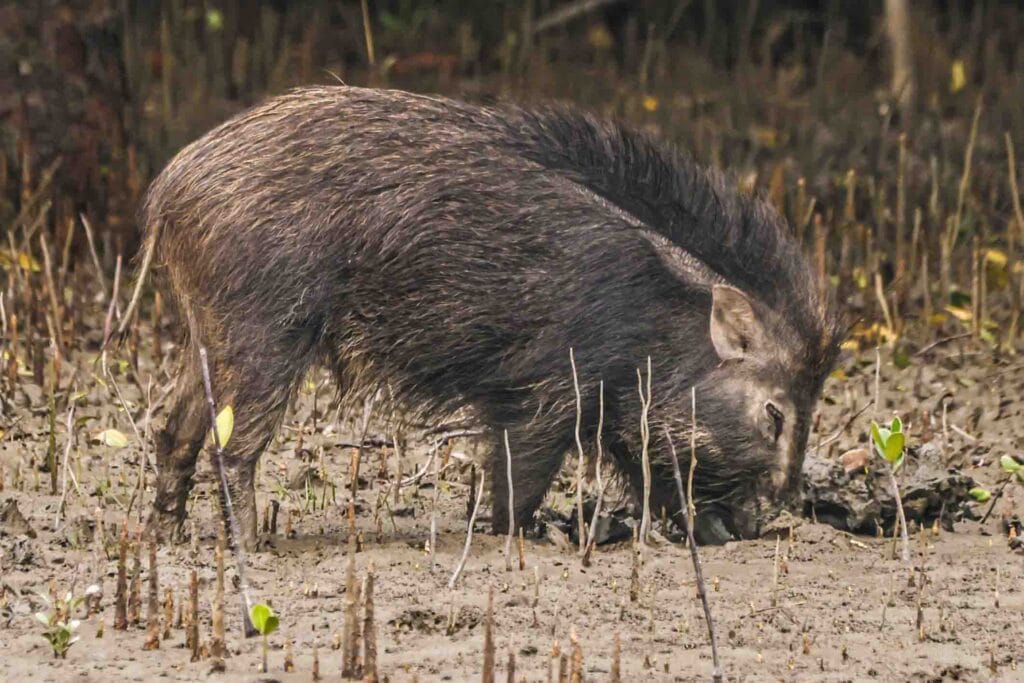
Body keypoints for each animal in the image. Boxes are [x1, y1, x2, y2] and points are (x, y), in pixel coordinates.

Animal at [121, 86, 842, 550]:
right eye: (775, 412)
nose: (759, 522)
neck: (658, 314)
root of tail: (169, 188)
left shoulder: (620, 412)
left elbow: (654, 475)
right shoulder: (550, 390)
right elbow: (521, 477)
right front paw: (527, 535)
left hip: (211, 329)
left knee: (175, 429)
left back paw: (167, 535)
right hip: (266, 330)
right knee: (232, 445)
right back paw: (253, 547)